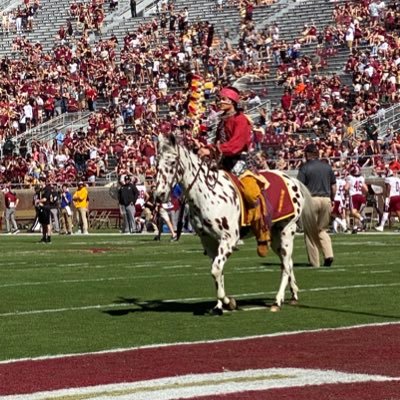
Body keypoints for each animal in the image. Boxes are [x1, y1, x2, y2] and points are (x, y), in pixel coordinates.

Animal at [155, 136, 320, 314]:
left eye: (172, 162)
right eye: (157, 163)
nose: (159, 195)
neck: (207, 194)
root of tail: (291, 179)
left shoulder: (229, 239)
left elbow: (216, 270)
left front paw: (229, 302)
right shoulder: (208, 241)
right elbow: (218, 271)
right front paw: (219, 306)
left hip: (287, 230)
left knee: (286, 266)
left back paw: (277, 300)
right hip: (275, 236)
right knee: (287, 262)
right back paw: (293, 294)